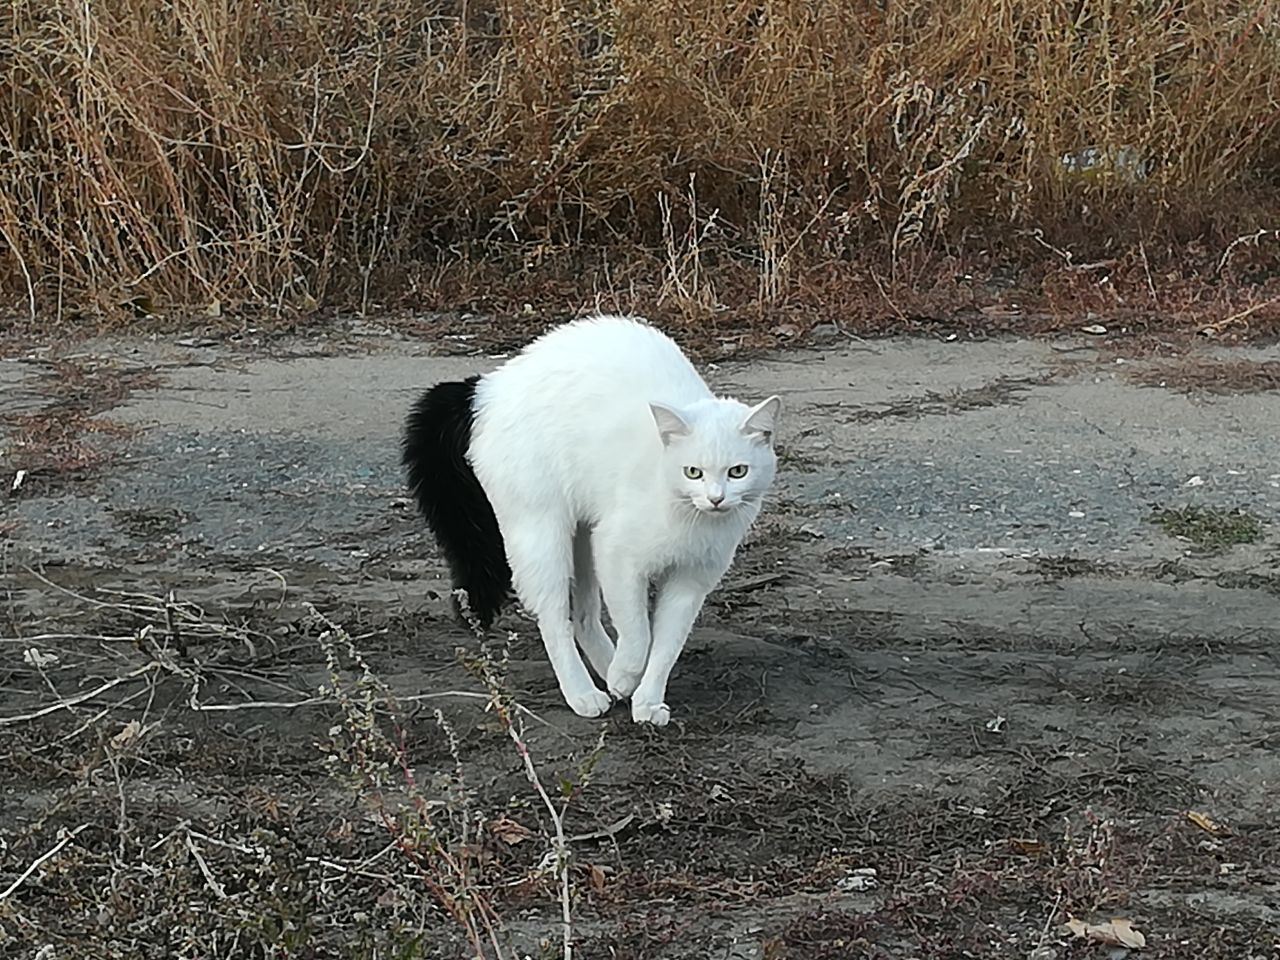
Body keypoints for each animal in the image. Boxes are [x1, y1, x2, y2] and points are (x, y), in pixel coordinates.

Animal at [401, 320, 778, 727]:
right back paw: (584, 692)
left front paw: (646, 698)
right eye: (693, 472)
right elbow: (639, 633)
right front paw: (627, 673)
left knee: (583, 616)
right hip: (543, 534)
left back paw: (610, 674)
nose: (716, 498)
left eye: (738, 471)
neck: (685, 511)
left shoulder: (690, 581)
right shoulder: (618, 555)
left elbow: (667, 644)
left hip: (583, 534)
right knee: (554, 619)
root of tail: (489, 387)